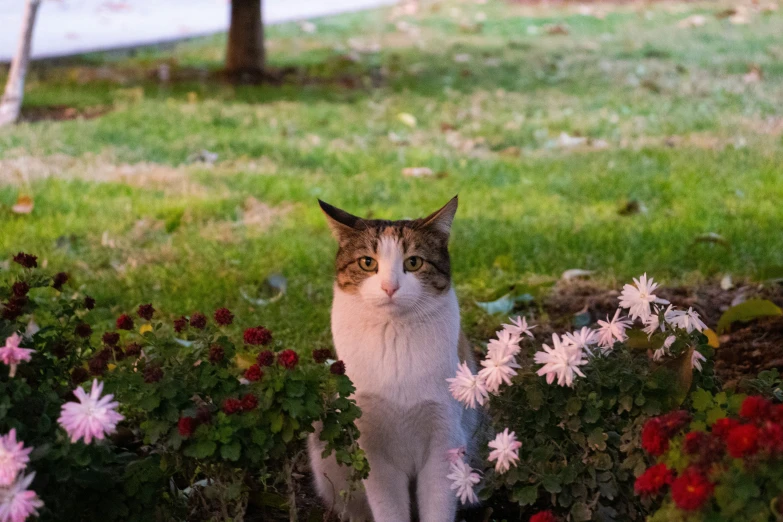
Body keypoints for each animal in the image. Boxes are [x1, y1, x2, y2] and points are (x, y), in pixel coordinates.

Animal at [306, 196, 478, 520]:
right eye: (367, 262)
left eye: (413, 262)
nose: (390, 287)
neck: (394, 338)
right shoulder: (373, 450)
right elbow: (388, 507)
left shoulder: (444, 438)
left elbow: (438, 504)